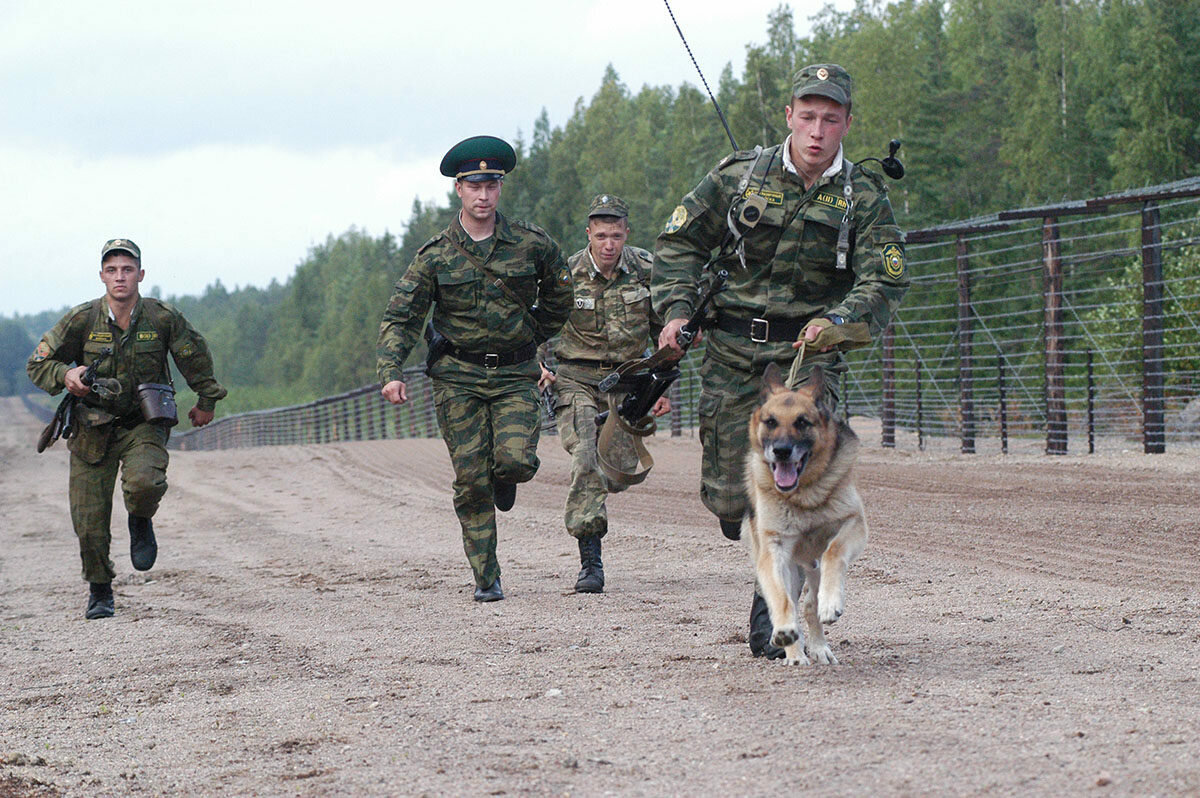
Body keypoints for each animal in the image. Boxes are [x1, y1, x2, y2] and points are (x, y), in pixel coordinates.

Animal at [739, 364, 864, 662]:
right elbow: (781, 599)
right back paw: (794, 652)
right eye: (770, 422)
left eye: (802, 422)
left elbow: (833, 552)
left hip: (811, 567)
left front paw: (831, 603)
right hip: (789, 566)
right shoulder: (773, 549)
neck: (804, 495)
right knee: (792, 602)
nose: (782, 451)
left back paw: (819, 646)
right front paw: (786, 632)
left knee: (809, 604)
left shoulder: (853, 523)